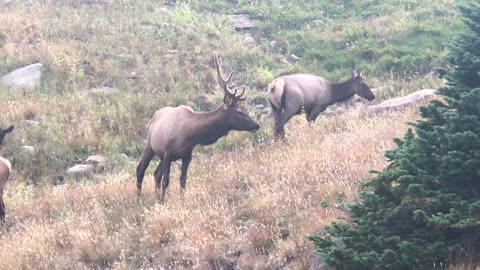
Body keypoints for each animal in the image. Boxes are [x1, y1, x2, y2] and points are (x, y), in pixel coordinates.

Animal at [137, 54, 260, 202]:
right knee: (141, 170)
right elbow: (166, 181)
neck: (191, 134)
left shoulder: (187, 155)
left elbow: (183, 180)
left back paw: (156, 198)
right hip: (149, 145)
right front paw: (164, 202)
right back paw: (139, 198)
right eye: (239, 112)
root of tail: (152, 118)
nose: (256, 125)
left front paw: (180, 200)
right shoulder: (167, 152)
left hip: (160, 155)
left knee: (156, 174)